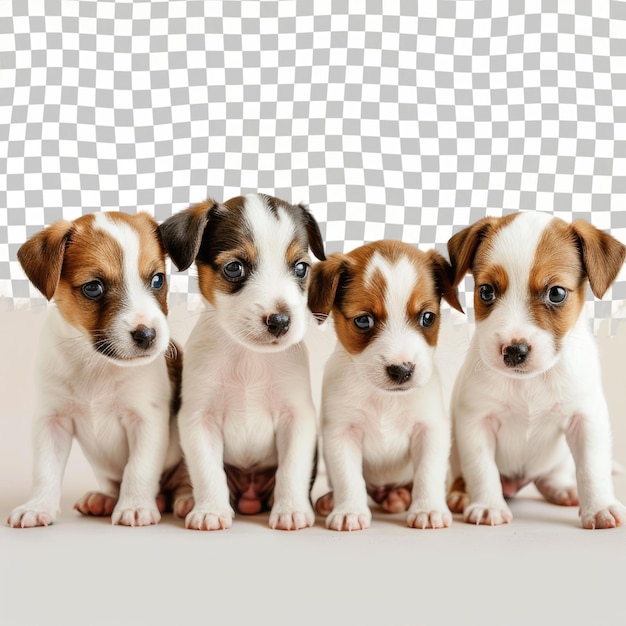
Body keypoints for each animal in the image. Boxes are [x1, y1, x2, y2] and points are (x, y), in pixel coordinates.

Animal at [8, 211, 186, 528]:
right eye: (93, 287)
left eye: (157, 280)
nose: (147, 335)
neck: (97, 364)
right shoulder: (51, 421)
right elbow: (44, 470)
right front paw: (38, 506)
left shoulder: (146, 421)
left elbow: (138, 468)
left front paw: (135, 506)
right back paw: (103, 499)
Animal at [157, 190, 326, 528]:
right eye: (234, 268)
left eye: (301, 269)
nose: (280, 321)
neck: (250, 357)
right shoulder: (199, 421)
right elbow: (208, 472)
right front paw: (210, 510)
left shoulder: (297, 419)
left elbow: (292, 470)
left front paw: (290, 509)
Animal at [308, 239, 464, 528]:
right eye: (363, 320)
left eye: (427, 317)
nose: (402, 370)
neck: (385, 398)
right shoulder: (341, 433)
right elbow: (348, 477)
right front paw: (349, 510)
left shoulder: (430, 430)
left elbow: (428, 474)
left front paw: (428, 508)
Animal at [446, 210, 624, 528]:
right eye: (486, 291)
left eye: (556, 293)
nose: (514, 351)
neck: (530, 383)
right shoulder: (476, 423)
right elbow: (481, 468)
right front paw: (487, 504)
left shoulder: (586, 419)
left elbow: (592, 467)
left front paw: (600, 506)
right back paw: (461, 494)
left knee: (550, 475)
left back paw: (563, 488)